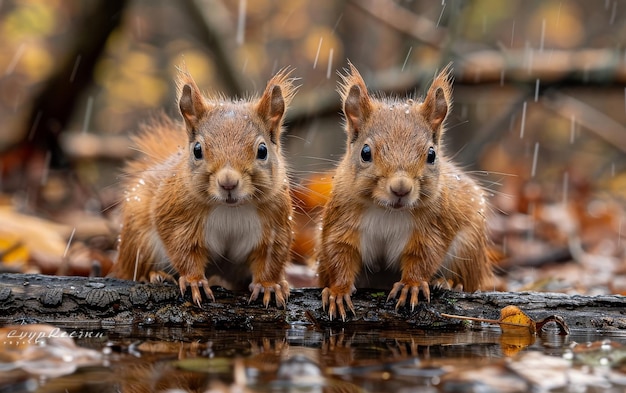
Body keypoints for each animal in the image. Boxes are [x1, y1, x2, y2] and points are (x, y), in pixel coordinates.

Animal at [111, 66, 296, 308]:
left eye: (262, 150)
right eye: (197, 150)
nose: (228, 182)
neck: (231, 208)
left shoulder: (276, 222)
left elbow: (270, 257)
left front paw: (269, 285)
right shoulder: (176, 215)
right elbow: (183, 249)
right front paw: (194, 281)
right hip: (138, 238)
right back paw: (154, 275)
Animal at [316, 64, 492, 320]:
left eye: (431, 154)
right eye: (365, 152)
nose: (401, 188)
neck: (387, 211)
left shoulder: (432, 226)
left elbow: (424, 256)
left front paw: (412, 285)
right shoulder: (342, 221)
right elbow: (340, 253)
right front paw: (338, 291)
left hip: (469, 246)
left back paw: (449, 283)